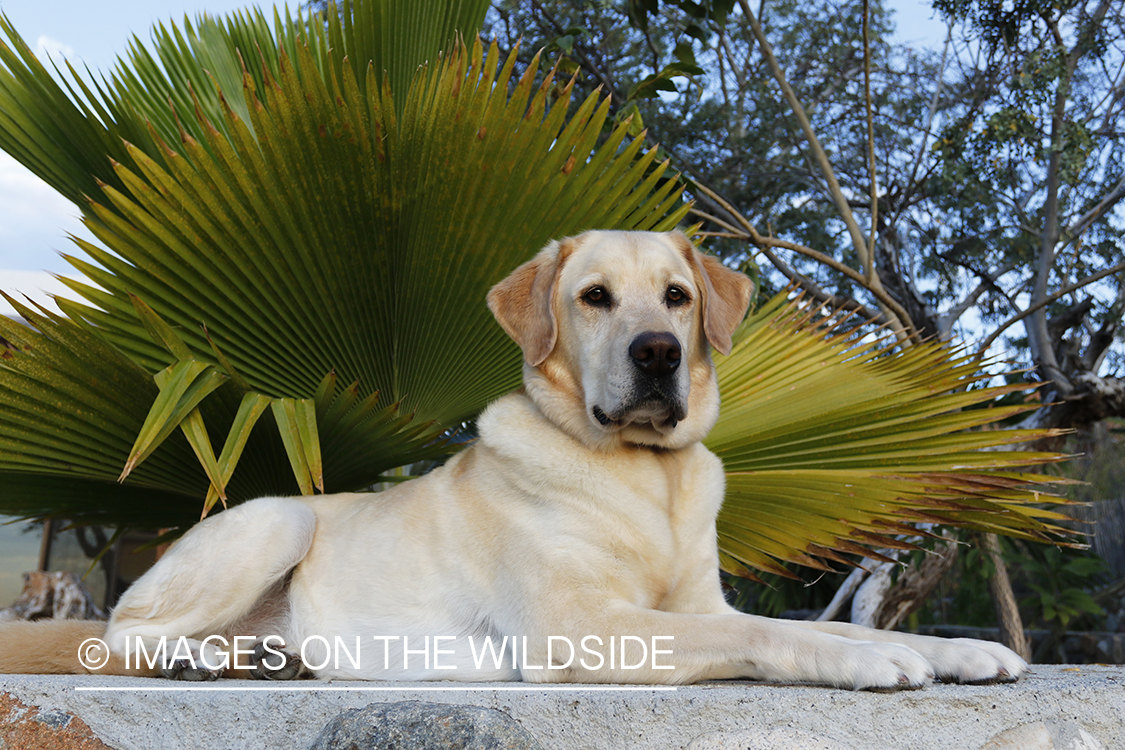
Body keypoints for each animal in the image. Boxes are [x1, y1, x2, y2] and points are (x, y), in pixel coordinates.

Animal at [0, 231, 1030, 688]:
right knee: (120, 637)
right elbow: (786, 635)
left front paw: (950, 650)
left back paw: (262, 655)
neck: (644, 476)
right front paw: (866, 659)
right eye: (594, 297)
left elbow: (820, 624)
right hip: (280, 516)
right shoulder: (582, 628)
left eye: (676, 296)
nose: (658, 354)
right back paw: (203, 660)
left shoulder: (702, 603)